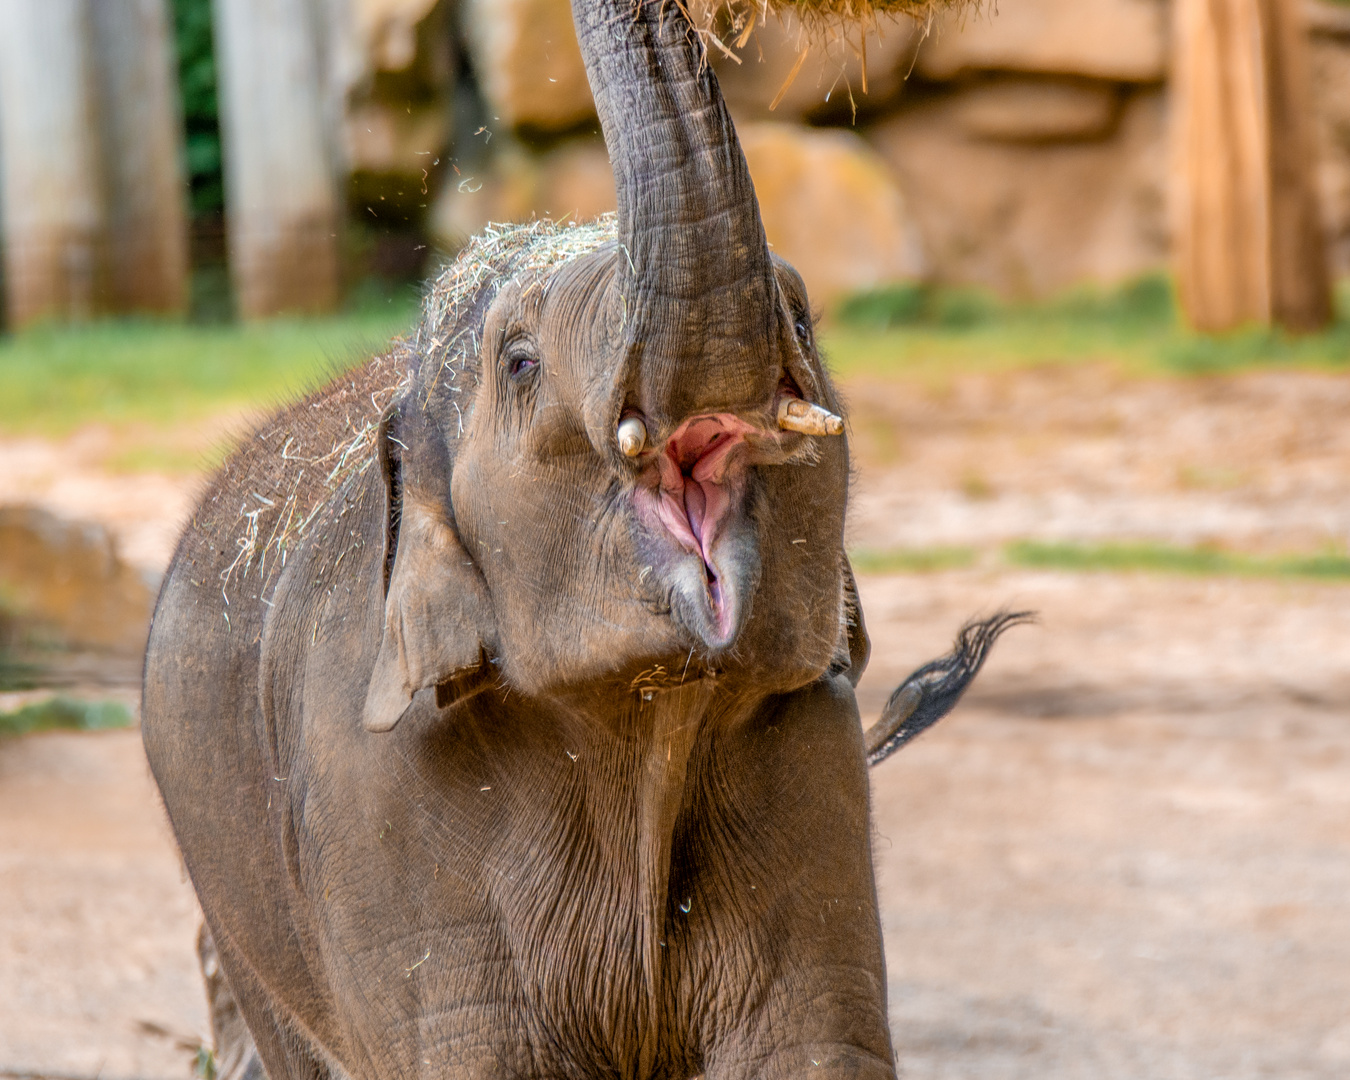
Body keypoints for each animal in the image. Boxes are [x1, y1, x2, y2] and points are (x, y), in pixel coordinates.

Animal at [139, 2, 1020, 1080]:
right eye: (520, 363)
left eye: (803, 320)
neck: (649, 713)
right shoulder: (378, 802)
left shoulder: (815, 756)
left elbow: (808, 1050)